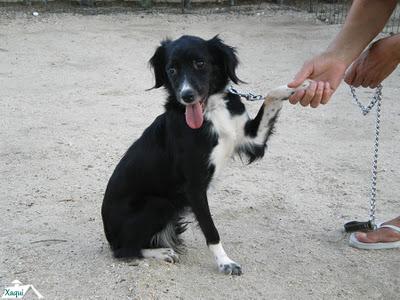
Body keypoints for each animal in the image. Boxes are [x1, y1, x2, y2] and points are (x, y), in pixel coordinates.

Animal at [101, 34, 308, 274]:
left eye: (200, 63)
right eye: (172, 69)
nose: (187, 96)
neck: (211, 111)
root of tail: (108, 234)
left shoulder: (252, 140)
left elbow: (270, 97)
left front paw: (299, 85)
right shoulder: (194, 186)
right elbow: (211, 230)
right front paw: (225, 262)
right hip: (159, 204)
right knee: (123, 250)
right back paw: (161, 252)